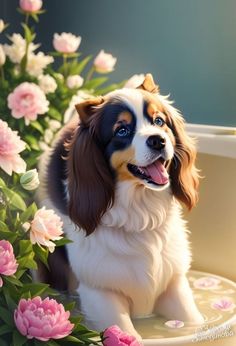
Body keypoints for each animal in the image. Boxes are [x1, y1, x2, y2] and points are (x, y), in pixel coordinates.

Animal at [37, 73, 204, 340]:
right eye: (122, 130)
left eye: (159, 121)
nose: (158, 140)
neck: (140, 212)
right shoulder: (100, 293)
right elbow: (126, 332)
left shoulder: (173, 283)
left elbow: (194, 322)